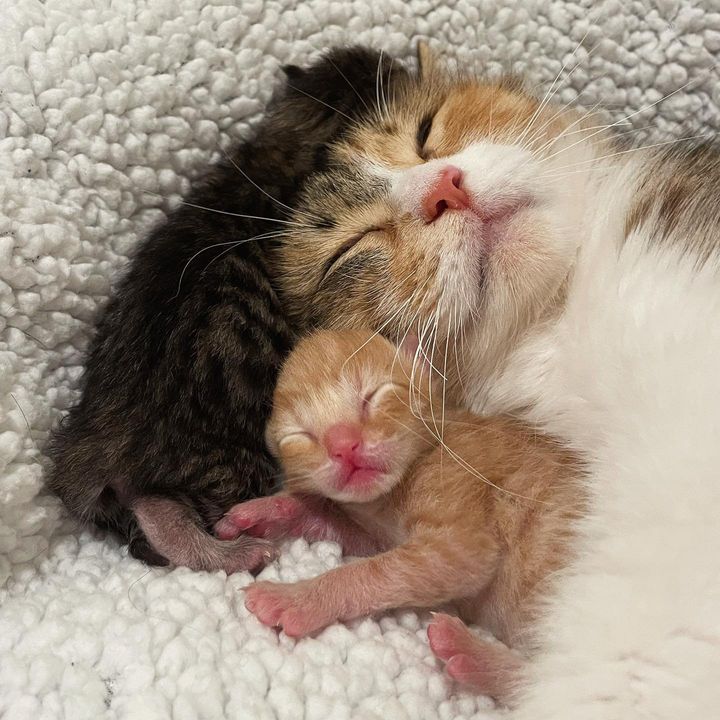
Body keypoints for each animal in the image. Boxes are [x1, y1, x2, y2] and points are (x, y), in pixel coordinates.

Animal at [45, 46, 410, 572]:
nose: (397, 55)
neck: (288, 146)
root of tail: (100, 441)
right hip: (230, 461)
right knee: (166, 513)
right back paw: (235, 550)